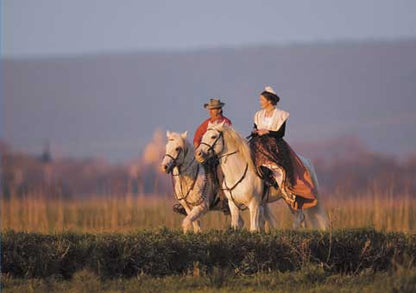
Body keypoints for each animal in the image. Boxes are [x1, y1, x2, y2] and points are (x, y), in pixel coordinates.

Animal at [195, 121, 328, 230]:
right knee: (299, 218)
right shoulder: (233, 205)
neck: (237, 173)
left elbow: (254, 229)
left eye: (213, 136)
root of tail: (305, 161)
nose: (198, 154)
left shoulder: (254, 204)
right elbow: (236, 226)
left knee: (299, 217)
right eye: (203, 136)